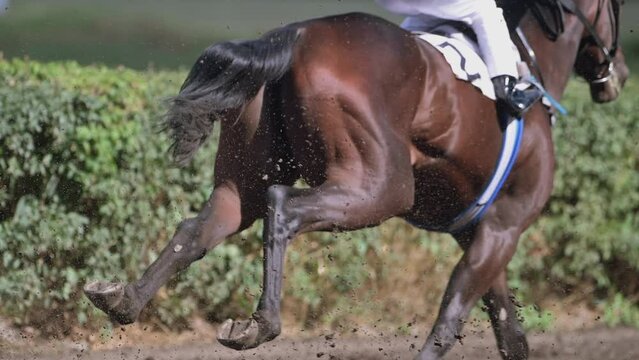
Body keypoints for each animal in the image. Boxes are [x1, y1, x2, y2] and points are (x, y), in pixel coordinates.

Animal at [85, 1, 632, 358]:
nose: (620, 73)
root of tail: (295, 36)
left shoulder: (481, 229)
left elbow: (508, 331)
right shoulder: (505, 226)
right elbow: (451, 318)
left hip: (247, 175)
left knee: (204, 224)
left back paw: (123, 300)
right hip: (382, 187)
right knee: (283, 206)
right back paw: (261, 324)